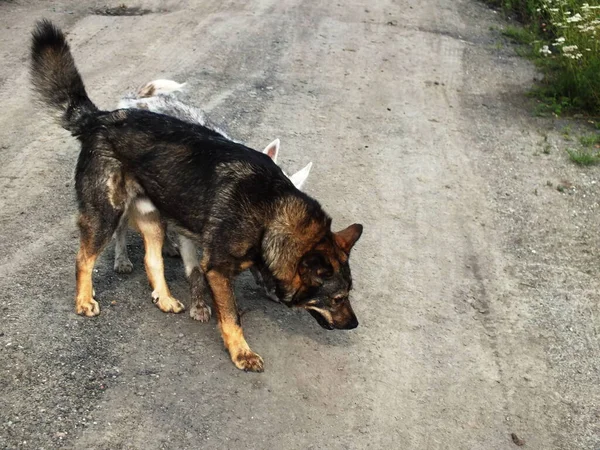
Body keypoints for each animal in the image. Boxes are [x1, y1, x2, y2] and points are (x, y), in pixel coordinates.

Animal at [30, 20, 364, 372]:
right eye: (337, 298)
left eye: (348, 294)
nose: (354, 324)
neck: (270, 212)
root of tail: (102, 118)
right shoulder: (216, 268)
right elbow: (228, 313)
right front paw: (240, 352)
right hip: (107, 212)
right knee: (85, 257)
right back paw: (85, 299)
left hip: (152, 217)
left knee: (152, 260)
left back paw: (164, 298)